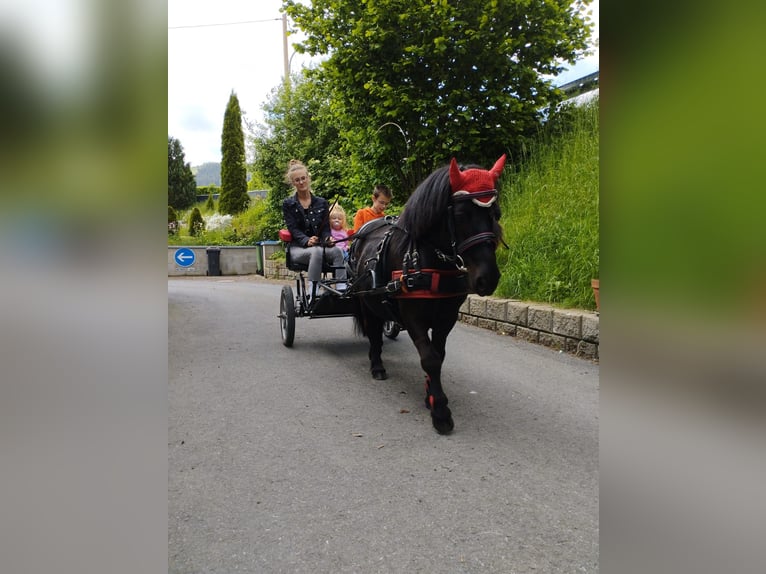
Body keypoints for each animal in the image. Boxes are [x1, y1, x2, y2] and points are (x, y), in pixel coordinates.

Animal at [350, 155, 508, 434]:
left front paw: (430, 394)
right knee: (374, 332)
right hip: (366, 302)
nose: (488, 279)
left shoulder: (447, 316)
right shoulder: (413, 316)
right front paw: (441, 411)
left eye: (495, 213)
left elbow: (438, 355)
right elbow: (430, 359)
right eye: (461, 214)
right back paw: (377, 365)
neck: (427, 257)